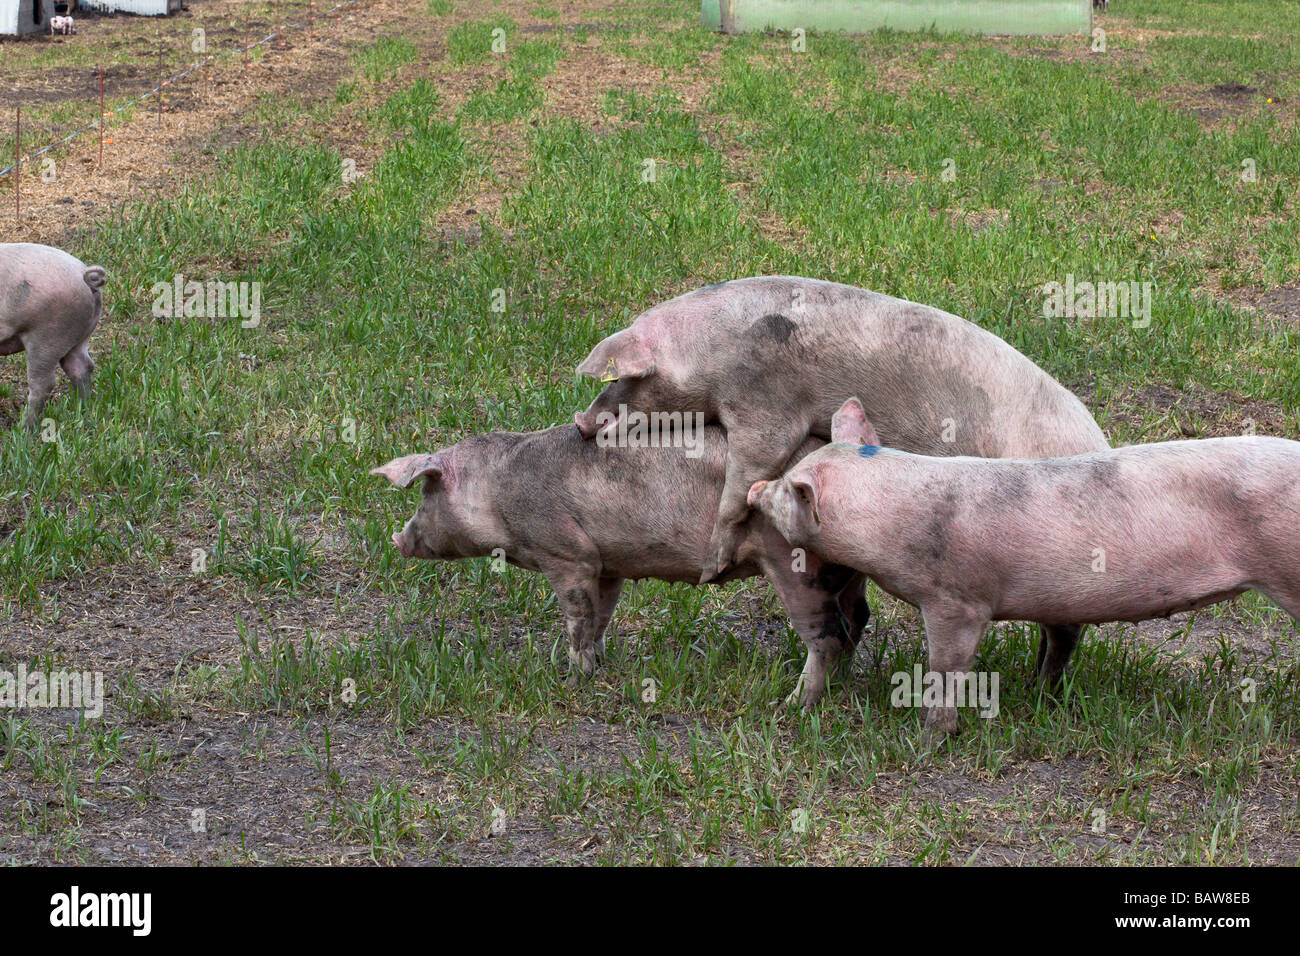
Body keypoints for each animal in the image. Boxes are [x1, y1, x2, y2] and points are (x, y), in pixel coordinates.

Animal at [0, 243, 106, 429]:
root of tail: (82, 273)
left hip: (48, 335)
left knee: (43, 383)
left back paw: (23, 428)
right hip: (78, 336)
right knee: (83, 367)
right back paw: (81, 411)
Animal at [371, 421, 868, 707]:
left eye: (426, 493)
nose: (397, 539)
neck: (498, 494)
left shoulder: (565, 553)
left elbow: (577, 616)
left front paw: (573, 677)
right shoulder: (606, 562)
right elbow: (602, 614)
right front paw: (600, 661)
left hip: (795, 566)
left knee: (826, 635)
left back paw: (792, 704)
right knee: (856, 619)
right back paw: (842, 679)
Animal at [574, 280, 1112, 686]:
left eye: (622, 379)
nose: (582, 422)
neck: (712, 351)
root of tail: (1099, 440)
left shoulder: (765, 404)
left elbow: (745, 479)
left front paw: (710, 569)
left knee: (1067, 628)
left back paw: (1042, 687)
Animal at [748, 395, 1300, 733]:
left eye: (790, 487)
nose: (756, 488)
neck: (893, 524)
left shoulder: (958, 600)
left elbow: (947, 666)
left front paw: (928, 736)